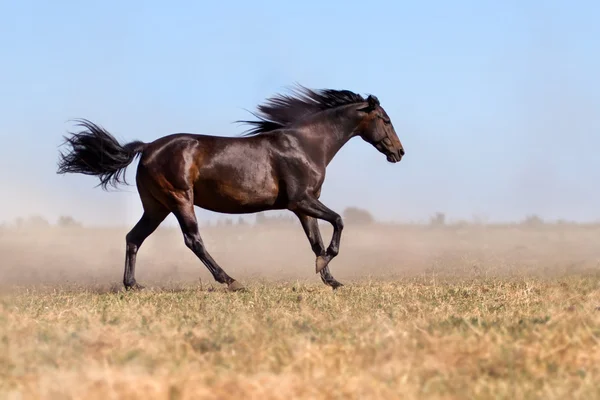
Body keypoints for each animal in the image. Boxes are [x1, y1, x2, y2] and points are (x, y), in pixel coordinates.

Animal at [56, 85, 406, 290]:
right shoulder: (300, 201)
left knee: (134, 238)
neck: (306, 144)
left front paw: (331, 279)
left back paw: (133, 285)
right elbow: (338, 222)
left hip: (157, 207)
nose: (399, 153)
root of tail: (148, 148)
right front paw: (325, 268)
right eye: (386, 120)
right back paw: (231, 281)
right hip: (180, 200)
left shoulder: (304, 207)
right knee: (193, 240)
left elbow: (316, 241)